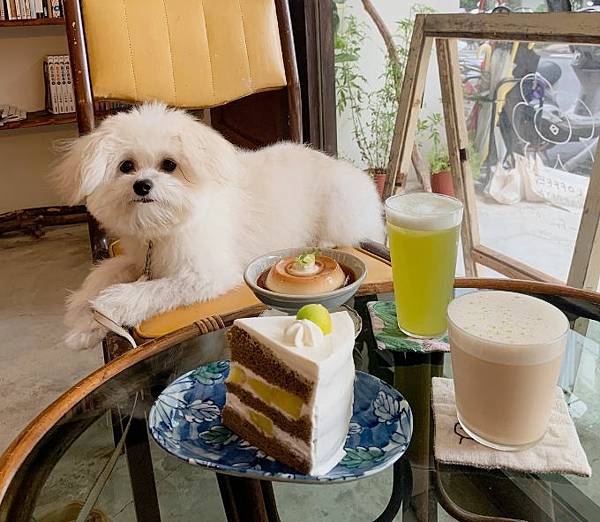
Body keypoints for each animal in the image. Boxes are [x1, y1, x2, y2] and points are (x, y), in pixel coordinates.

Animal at [56, 101, 384, 348]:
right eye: (126, 166)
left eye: (169, 165)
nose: (142, 185)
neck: (162, 228)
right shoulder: (139, 258)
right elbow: (104, 272)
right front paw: (82, 322)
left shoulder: (206, 275)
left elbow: (154, 290)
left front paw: (111, 303)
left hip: (341, 205)